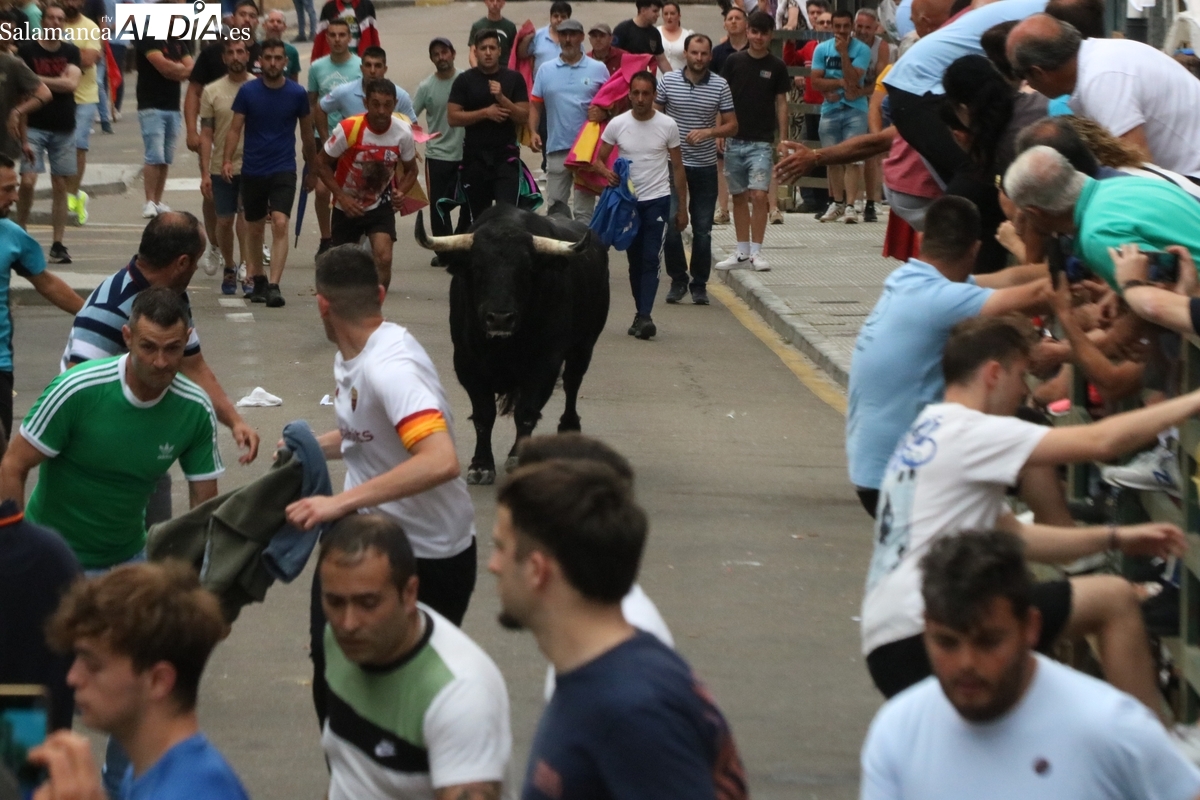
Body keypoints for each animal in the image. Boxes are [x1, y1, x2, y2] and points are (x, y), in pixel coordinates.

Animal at [415, 205, 610, 485]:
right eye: (477, 267)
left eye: (527, 269)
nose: (500, 318)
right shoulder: (466, 364)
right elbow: (484, 415)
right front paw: (481, 465)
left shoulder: (544, 364)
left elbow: (526, 412)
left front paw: (517, 458)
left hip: (584, 346)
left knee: (572, 383)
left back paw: (569, 426)